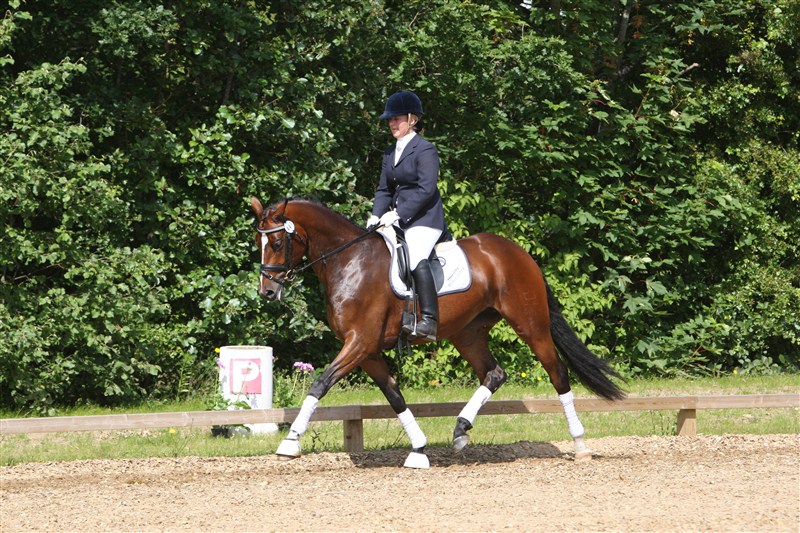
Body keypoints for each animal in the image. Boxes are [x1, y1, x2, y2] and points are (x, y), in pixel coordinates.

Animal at [250, 195, 624, 466]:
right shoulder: (366, 350)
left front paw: (290, 441)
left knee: (557, 372)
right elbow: (394, 395)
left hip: (531, 325)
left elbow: (320, 384)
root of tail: (519, 253)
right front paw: (418, 449)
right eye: (259, 242)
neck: (350, 261)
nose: (267, 292)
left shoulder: (360, 342)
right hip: (467, 333)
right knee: (494, 373)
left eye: (279, 243)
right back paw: (461, 430)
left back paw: (580, 443)